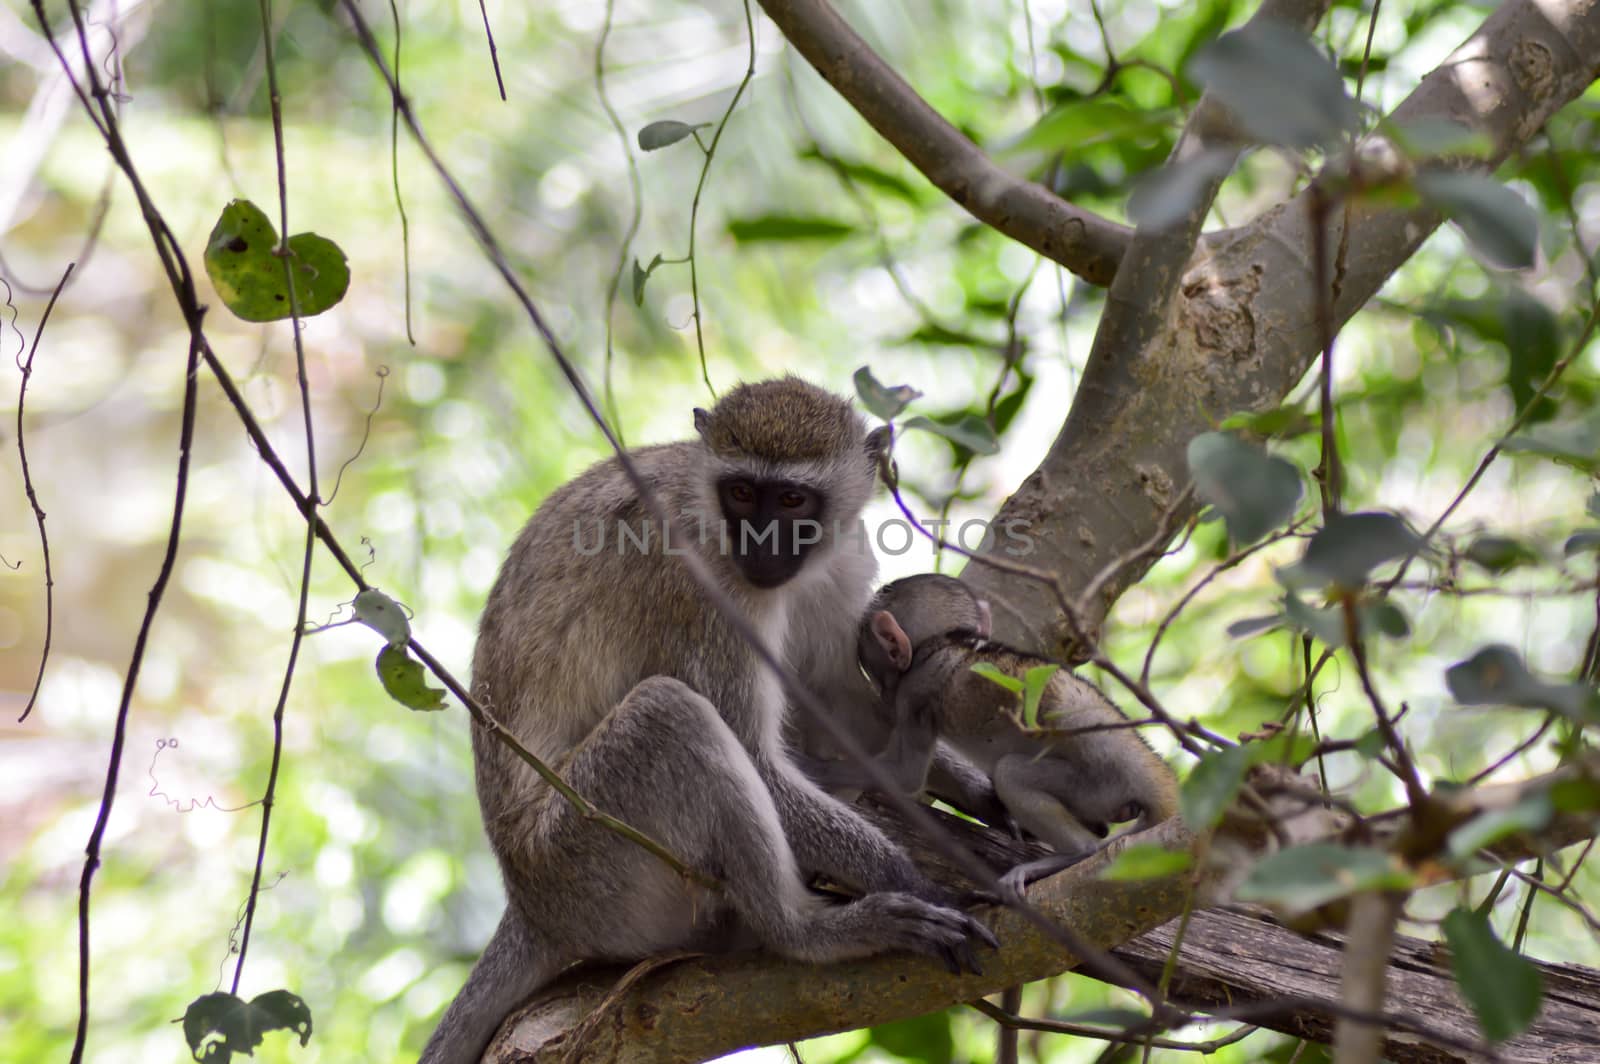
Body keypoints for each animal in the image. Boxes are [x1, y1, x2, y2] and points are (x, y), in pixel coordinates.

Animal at [419, 377, 992, 1056]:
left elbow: (842, 705)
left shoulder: (840, 565)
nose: (763, 548)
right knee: (669, 715)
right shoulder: (700, 586)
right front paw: (909, 878)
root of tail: (530, 904)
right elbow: (757, 755)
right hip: (584, 861)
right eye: (741, 492)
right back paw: (807, 934)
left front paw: (985, 791)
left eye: (792, 499)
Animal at [857, 572, 1184, 896]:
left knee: (1011, 773)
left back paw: (1076, 852)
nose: (882, 693)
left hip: (1100, 785)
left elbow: (906, 776)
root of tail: (1146, 762)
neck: (943, 641)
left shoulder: (912, 692)